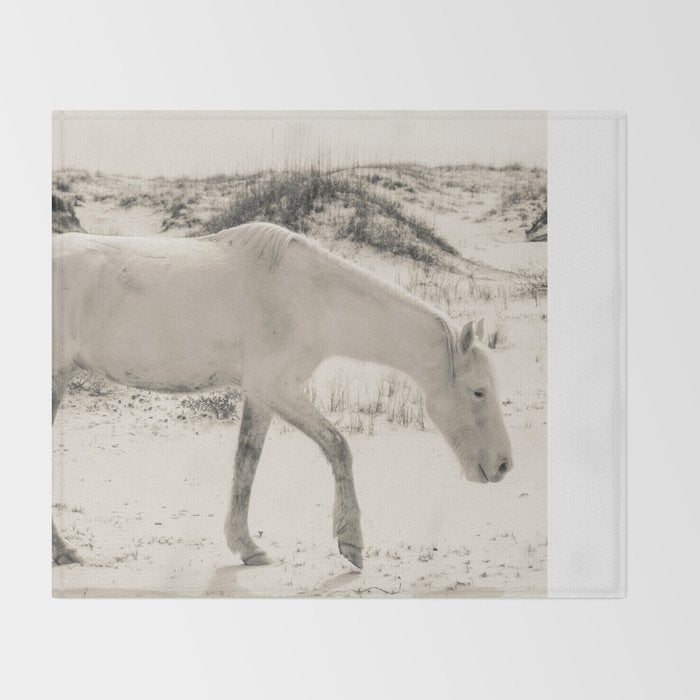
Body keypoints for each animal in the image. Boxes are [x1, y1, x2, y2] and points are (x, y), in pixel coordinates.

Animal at [52, 222, 513, 569]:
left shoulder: (262, 395)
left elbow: (246, 465)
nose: (503, 466)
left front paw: (247, 547)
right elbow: (338, 446)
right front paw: (351, 543)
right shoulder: (277, 387)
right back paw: (64, 550)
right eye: (478, 391)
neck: (311, 296)